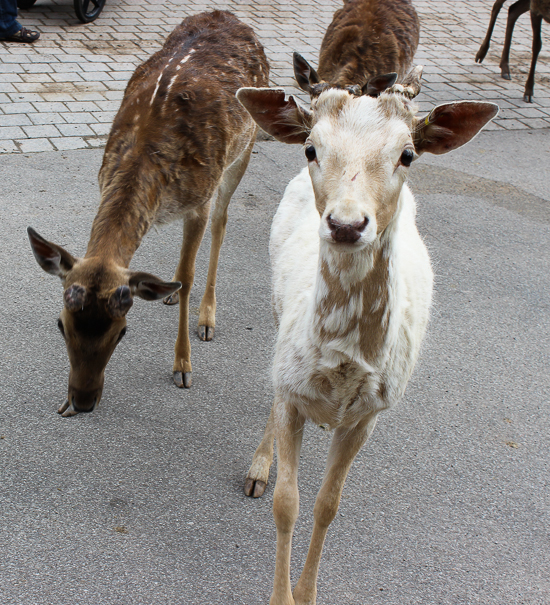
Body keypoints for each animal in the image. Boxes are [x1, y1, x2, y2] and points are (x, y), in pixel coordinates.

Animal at [26, 10, 272, 416]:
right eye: (61, 325)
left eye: (122, 332)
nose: (83, 400)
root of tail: (227, 15)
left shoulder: (199, 200)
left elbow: (189, 274)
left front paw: (183, 366)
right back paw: (167, 291)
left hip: (243, 149)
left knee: (221, 223)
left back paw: (207, 317)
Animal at [237, 68, 500, 600]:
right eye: (311, 148)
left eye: (408, 154)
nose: (345, 224)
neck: (342, 364)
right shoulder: (291, 390)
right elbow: (286, 503)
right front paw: (281, 596)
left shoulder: (370, 415)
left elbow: (327, 505)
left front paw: (308, 594)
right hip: (275, 315)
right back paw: (257, 467)